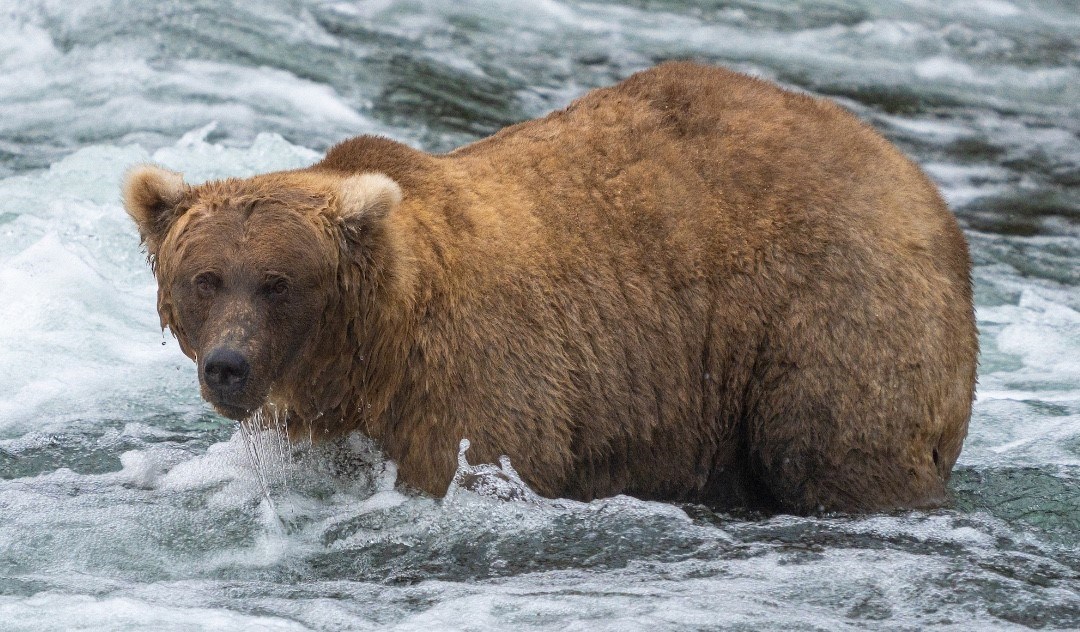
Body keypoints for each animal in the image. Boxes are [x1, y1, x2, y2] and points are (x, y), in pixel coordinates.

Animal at [124, 61, 980, 512]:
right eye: (205, 279)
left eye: (278, 282)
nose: (228, 366)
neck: (372, 352)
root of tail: (918, 182)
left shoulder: (477, 383)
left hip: (830, 311)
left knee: (830, 447)